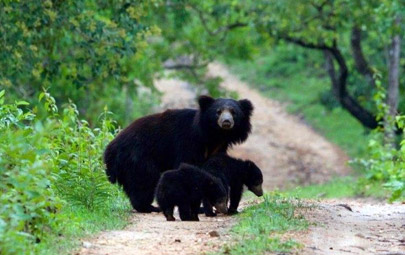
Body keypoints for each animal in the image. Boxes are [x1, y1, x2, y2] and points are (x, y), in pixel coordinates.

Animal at [102, 94, 251, 212]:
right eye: (218, 112)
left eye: (233, 112)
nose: (226, 121)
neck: (214, 136)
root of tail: (110, 149)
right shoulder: (189, 142)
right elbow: (189, 167)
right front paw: (199, 206)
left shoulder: (218, 148)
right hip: (138, 157)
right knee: (144, 180)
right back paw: (149, 207)